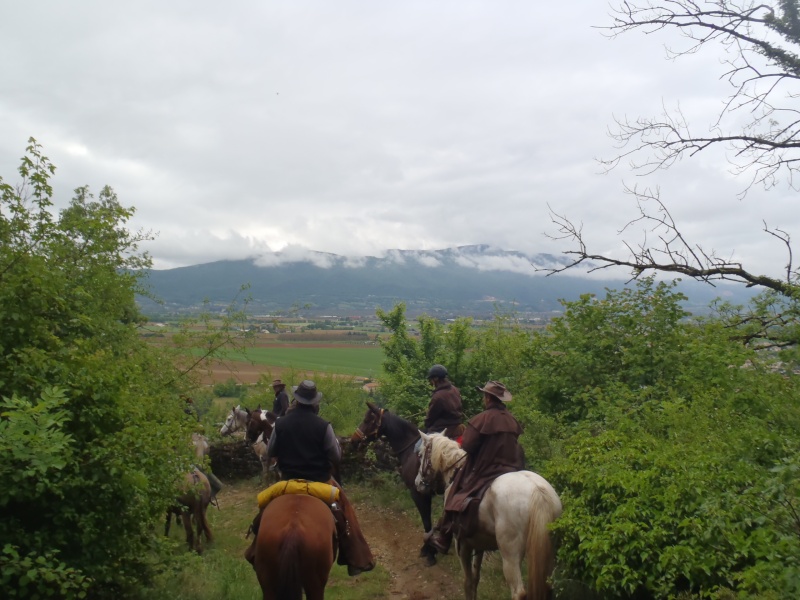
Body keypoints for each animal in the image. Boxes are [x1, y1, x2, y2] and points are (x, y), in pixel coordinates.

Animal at [350, 400, 440, 564]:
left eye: (367, 420)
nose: (354, 441)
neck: (411, 449)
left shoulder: (418, 493)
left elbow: (426, 521)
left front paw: (429, 551)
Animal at [412, 434, 564, 600]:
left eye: (420, 455)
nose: (417, 483)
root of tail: (538, 492)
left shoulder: (463, 545)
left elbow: (467, 581)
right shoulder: (479, 543)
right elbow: (475, 578)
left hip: (510, 554)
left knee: (518, 592)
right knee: (548, 586)